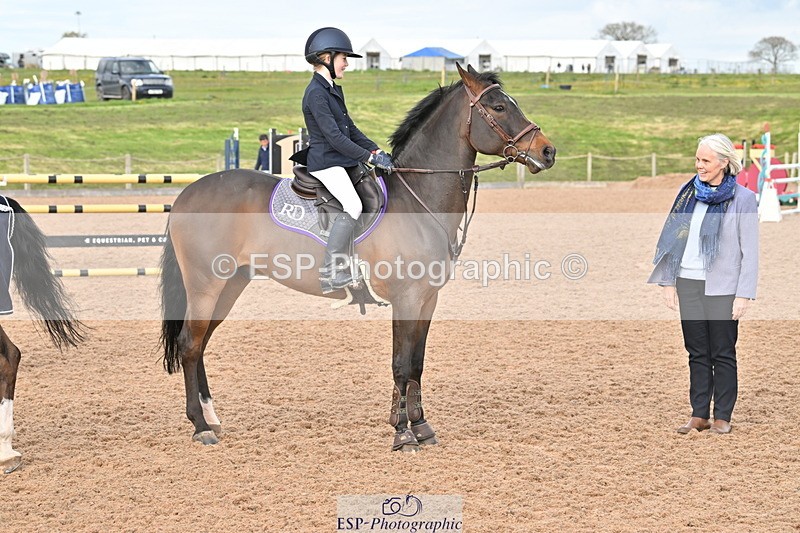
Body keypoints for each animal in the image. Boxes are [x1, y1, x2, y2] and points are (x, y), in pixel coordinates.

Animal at [158, 64, 556, 451]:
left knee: (201, 344)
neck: (417, 201)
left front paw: (421, 428)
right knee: (190, 344)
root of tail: (187, 194)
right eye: (499, 107)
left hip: (230, 285)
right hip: (206, 286)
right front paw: (402, 435)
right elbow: (401, 364)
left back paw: (212, 419)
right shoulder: (406, 298)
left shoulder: (427, 300)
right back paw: (200, 427)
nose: (548, 151)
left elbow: (417, 364)